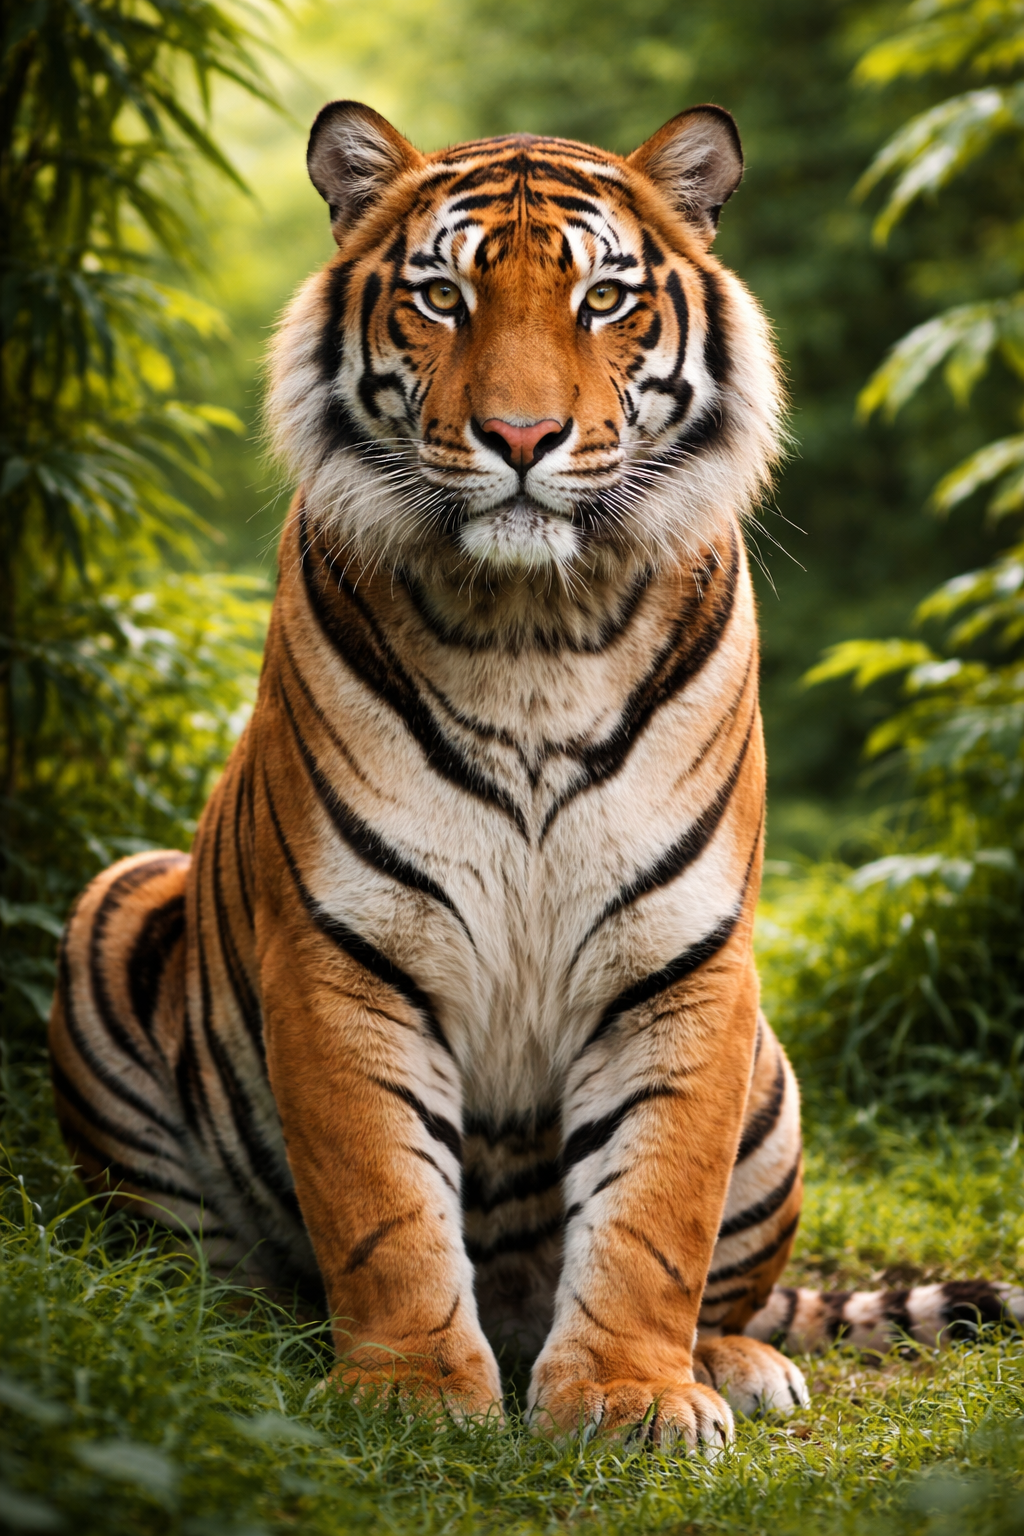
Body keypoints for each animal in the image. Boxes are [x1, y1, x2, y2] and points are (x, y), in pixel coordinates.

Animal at [49, 101, 1024, 1450]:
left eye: (603, 298)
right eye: (442, 296)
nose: (519, 439)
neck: (531, 632)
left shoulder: (680, 954)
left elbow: (654, 1214)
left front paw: (630, 1396)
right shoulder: (345, 951)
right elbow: (382, 1202)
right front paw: (408, 1393)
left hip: (770, 1073)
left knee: (736, 1288)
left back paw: (736, 1362)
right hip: (116, 906)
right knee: (199, 1261)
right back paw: (237, 1341)